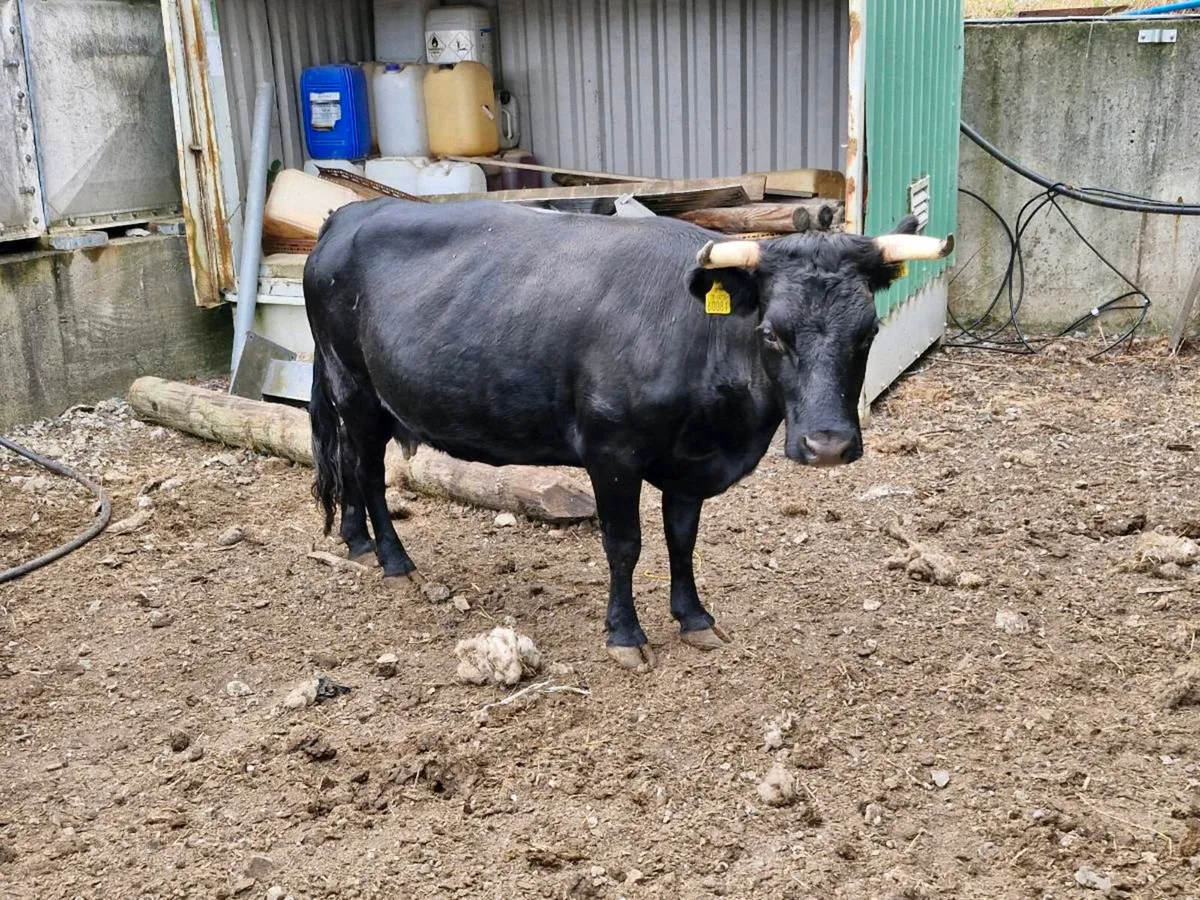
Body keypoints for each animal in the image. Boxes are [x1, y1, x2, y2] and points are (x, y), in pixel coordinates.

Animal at [304, 198, 952, 668]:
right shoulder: (610, 452)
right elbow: (624, 545)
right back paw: (393, 560)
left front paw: (695, 620)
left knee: (354, 470)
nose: (829, 446)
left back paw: (358, 543)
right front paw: (625, 635)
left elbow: (682, 540)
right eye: (771, 333)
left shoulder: (691, 464)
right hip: (355, 391)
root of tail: (349, 213)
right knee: (367, 471)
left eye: (868, 331)